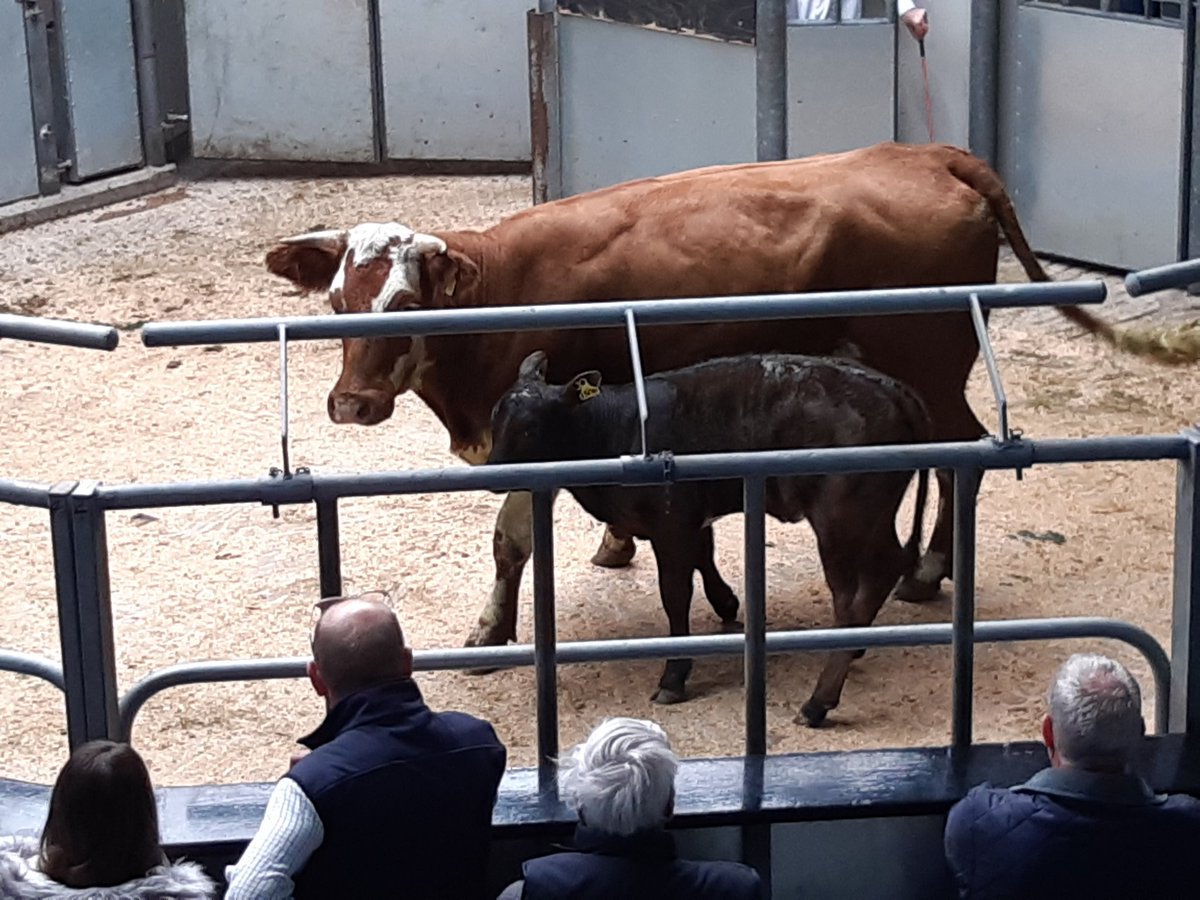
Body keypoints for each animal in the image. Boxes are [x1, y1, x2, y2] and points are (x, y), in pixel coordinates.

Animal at [262, 141, 1177, 658]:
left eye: (404, 305)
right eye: (337, 303)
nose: (350, 403)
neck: (500, 293)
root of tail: (927, 153)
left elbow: (510, 541)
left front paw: (492, 628)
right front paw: (615, 545)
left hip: (929, 364)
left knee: (964, 457)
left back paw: (926, 570)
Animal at [486, 349, 931, 726]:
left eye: (531, 428)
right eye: (494, 415)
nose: (492, 472)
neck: (614, 430)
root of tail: (894, 390)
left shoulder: (671, 526)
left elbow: (675, 596)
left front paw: (674, 676)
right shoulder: (692, 520)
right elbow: (704, 555)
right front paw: (727, 603)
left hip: (842, 520)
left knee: (856, 589)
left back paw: (819, 700)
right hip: (870, 516)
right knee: (880, 572)